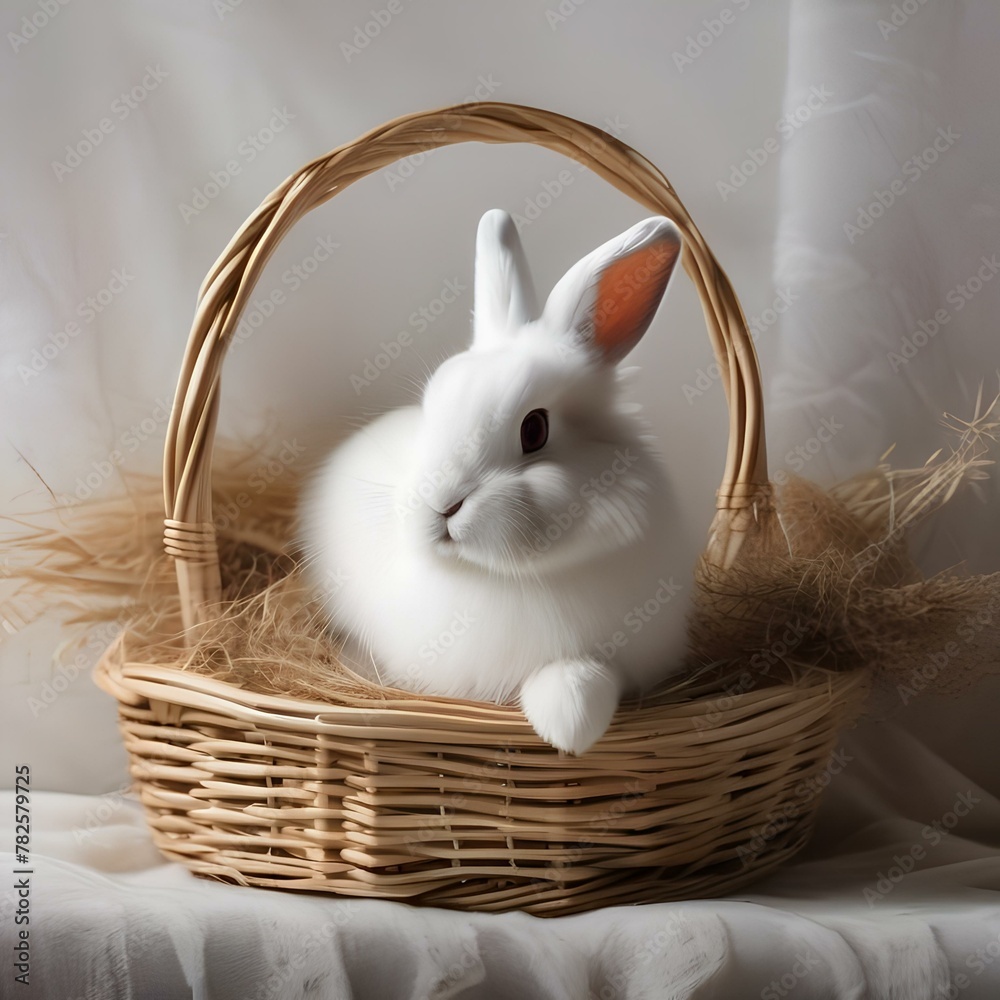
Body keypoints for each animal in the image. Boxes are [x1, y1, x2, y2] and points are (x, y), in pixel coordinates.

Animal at [300, 209, 699, 754]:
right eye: (433, 409)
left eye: (535, 430)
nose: (441, 505)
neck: (508, 577)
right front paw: (571, 725)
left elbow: (587, 674)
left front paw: (571, 726)